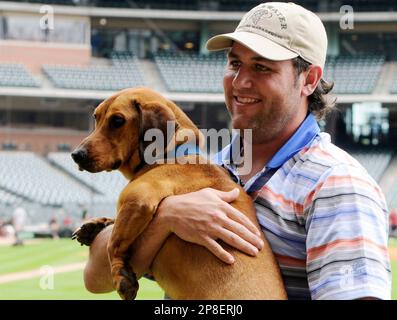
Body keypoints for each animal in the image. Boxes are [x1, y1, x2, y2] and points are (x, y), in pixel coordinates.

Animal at [71, 87, 286, 300]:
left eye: (117, 120)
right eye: (96, 117)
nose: (76, 155)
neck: (173, 152)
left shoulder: (138, 197)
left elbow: (113, 243)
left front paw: (121, 275)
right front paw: (95, 225)